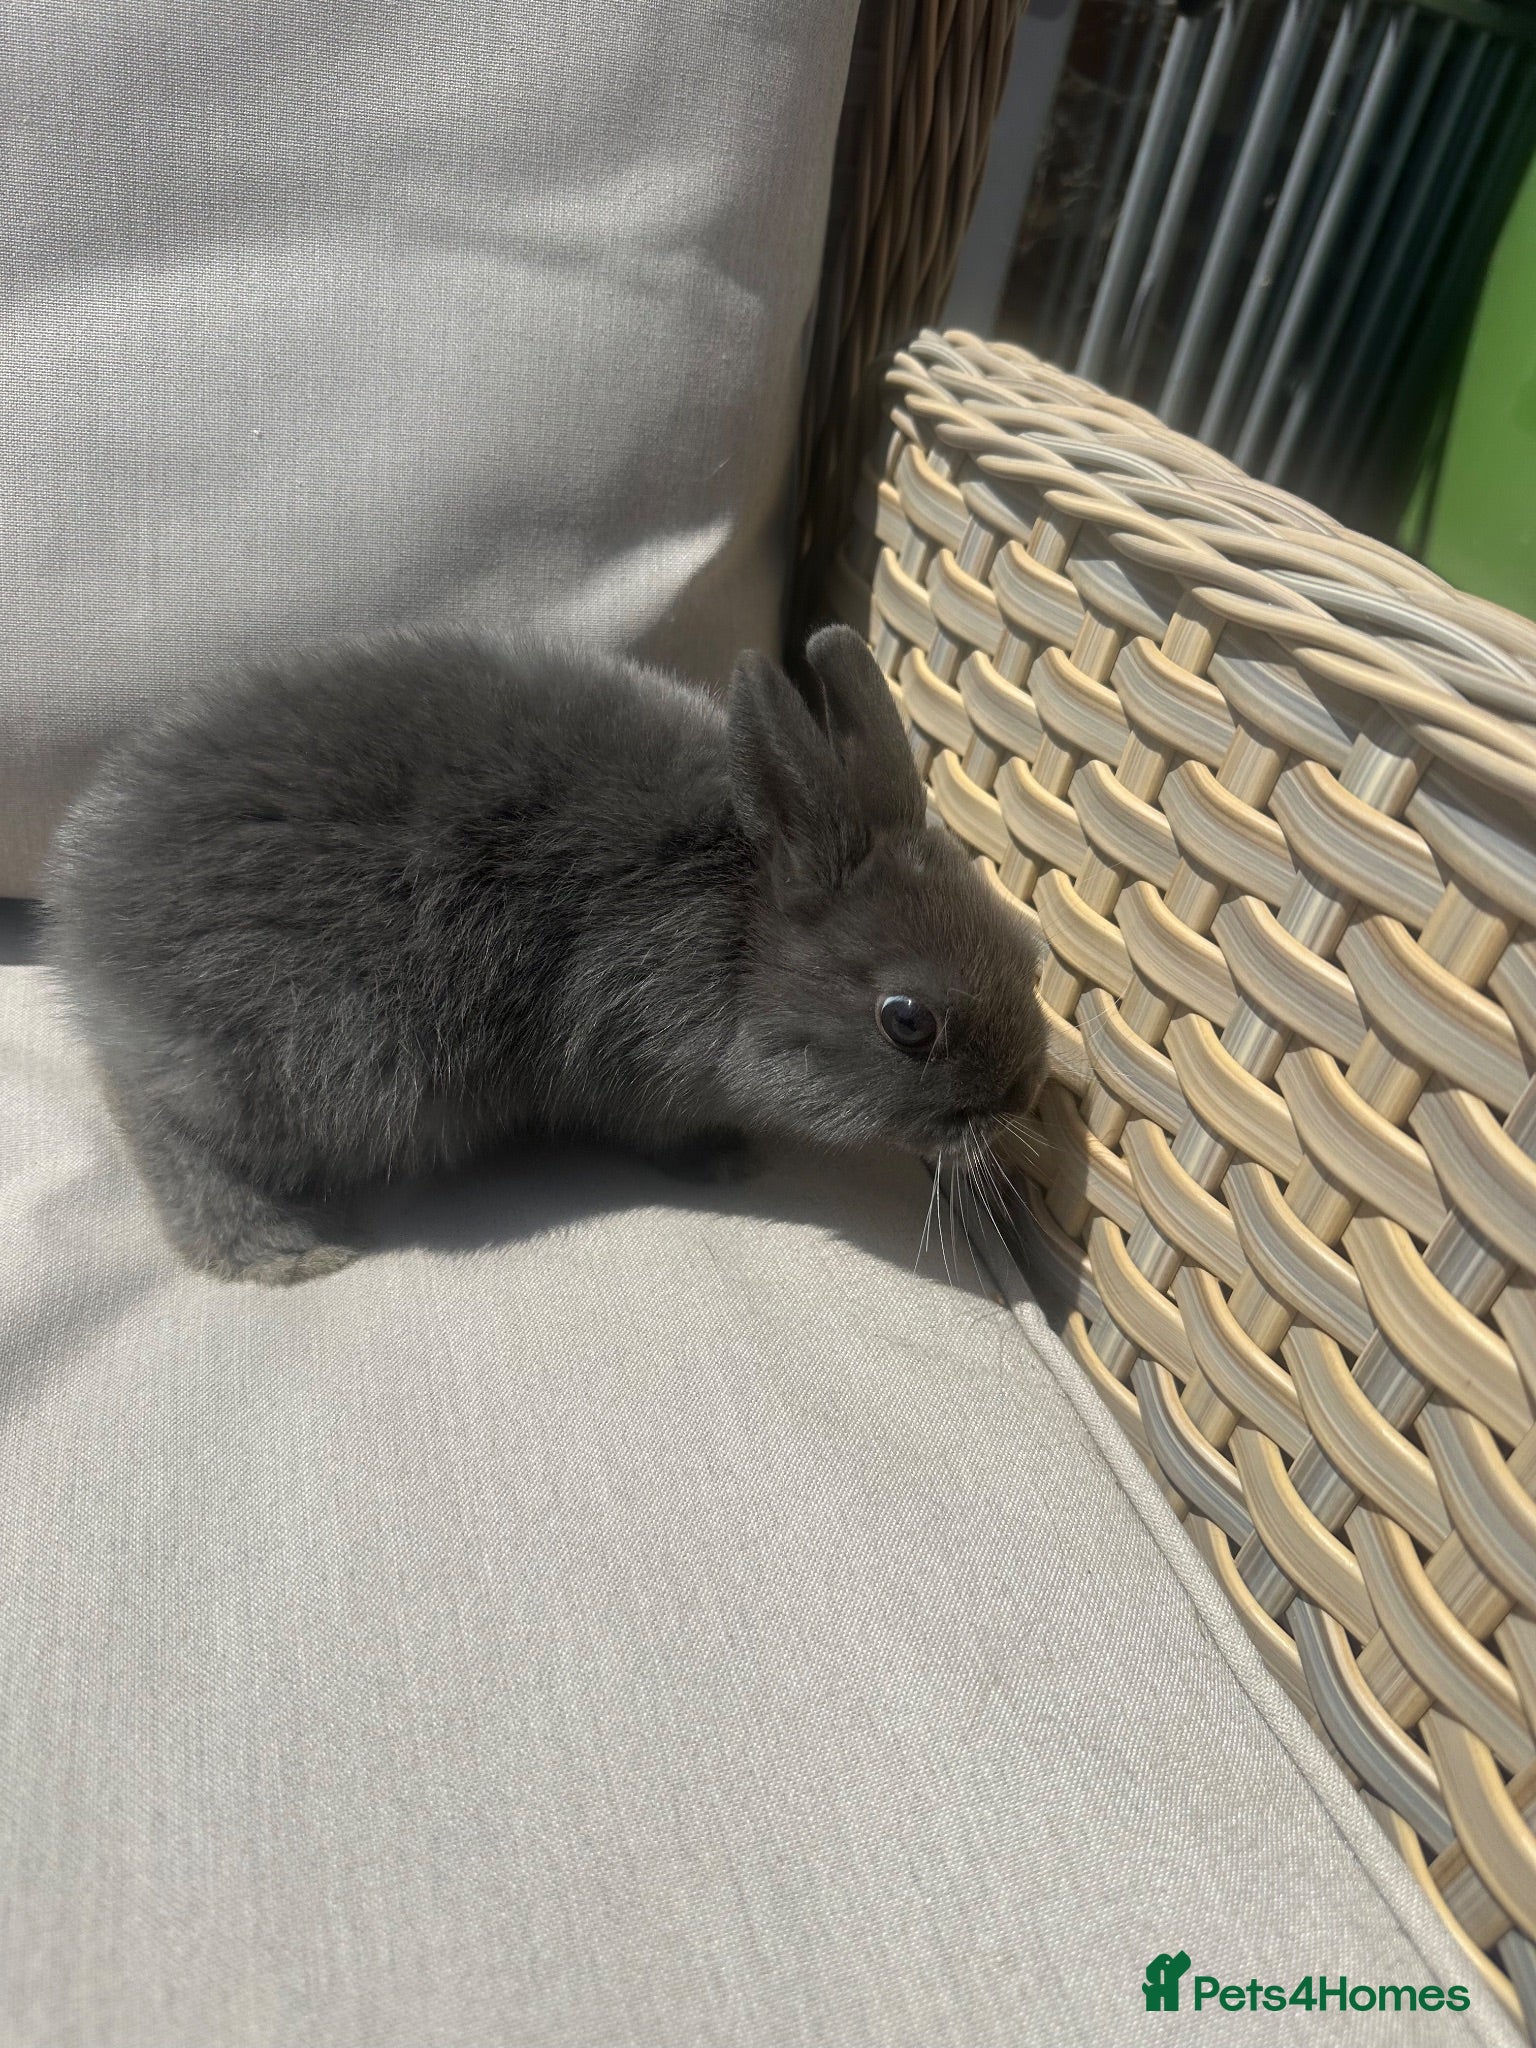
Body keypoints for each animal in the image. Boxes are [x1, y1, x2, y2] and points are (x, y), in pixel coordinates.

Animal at [41, 624, 1047, 1283]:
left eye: (1031, 952)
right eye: (907, 1022)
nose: (1020, 1097)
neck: (738, 926)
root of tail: (81, 904)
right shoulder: (639, 1067)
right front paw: (729, 1160)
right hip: (300, 1061)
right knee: (166, 1126)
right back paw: (283, 1252)